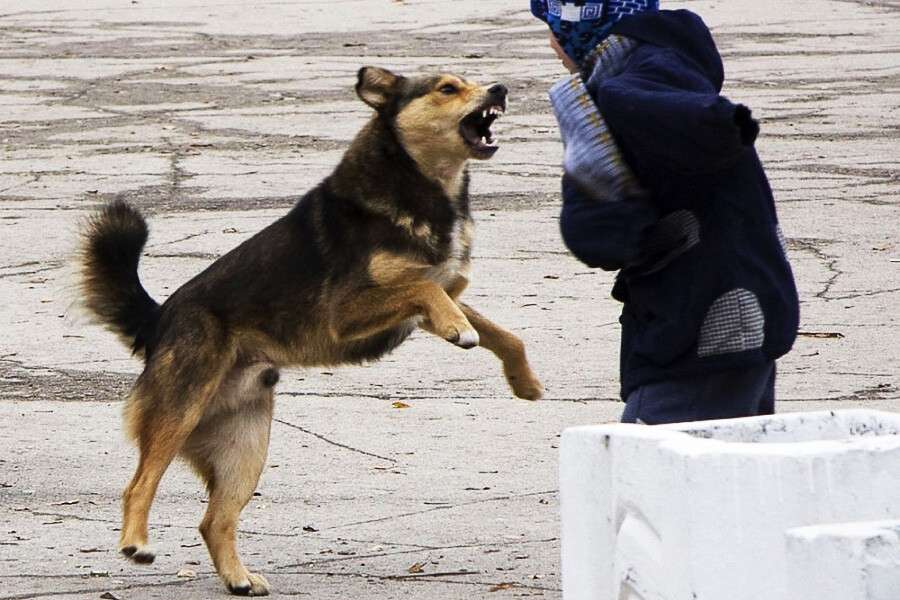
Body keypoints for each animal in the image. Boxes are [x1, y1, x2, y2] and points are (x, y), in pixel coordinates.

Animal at [79, 67, 540, 596]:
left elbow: (502, 333)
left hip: (245, 445)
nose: (500, 89)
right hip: (180, 411)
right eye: (447, 88)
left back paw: (237, 578)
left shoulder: (435, 297)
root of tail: (160, 320)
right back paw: (136, 542)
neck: (419, 184)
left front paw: (524, 381)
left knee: (213, 521)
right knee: (139, 484)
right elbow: (425, 288)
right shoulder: (348, 311)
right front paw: (458, 330)